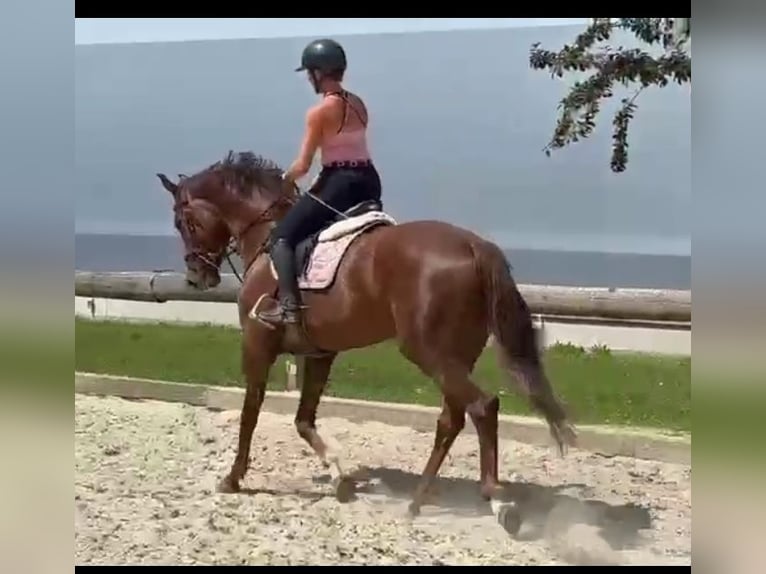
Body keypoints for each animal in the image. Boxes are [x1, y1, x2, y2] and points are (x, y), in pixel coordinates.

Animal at [159, 151, 580, 524]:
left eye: (183, 221)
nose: (196, 277)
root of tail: (474, 245)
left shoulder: (257, 344)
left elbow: (251, 412)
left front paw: (233, 478)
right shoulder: (319, 353)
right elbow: (303, 420)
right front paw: (339, 477)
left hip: (429, 352)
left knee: (482, 407)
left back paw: (495, 498)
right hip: (456, 355)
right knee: (452, 418)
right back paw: (417, 500)